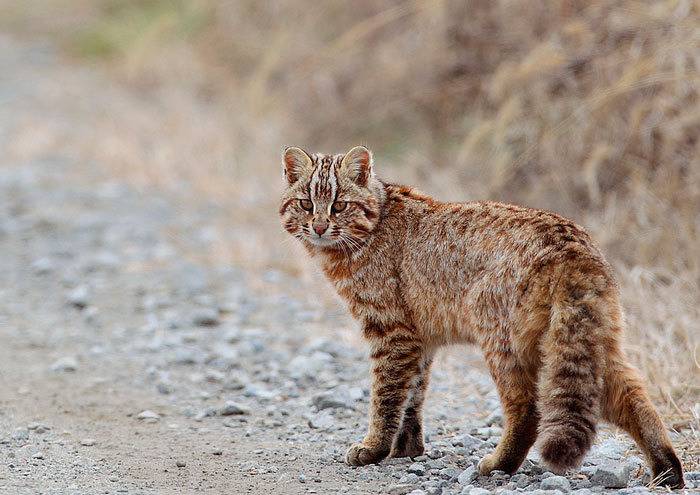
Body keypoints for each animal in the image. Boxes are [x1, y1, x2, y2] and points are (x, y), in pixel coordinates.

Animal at [278, 144, 684, 488]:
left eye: (339, 206)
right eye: (305, 203)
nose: (318, 226)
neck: (371, 226)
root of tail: (573, 244)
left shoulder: (391, 332)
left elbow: (387, 395)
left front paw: (375, 447)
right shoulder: (418, 340)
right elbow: (413, 395)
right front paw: (406, 448)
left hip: (501, 339)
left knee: (528, 410)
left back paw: (498, 464)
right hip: (591, 340)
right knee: (634, 397)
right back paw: (667, 470)